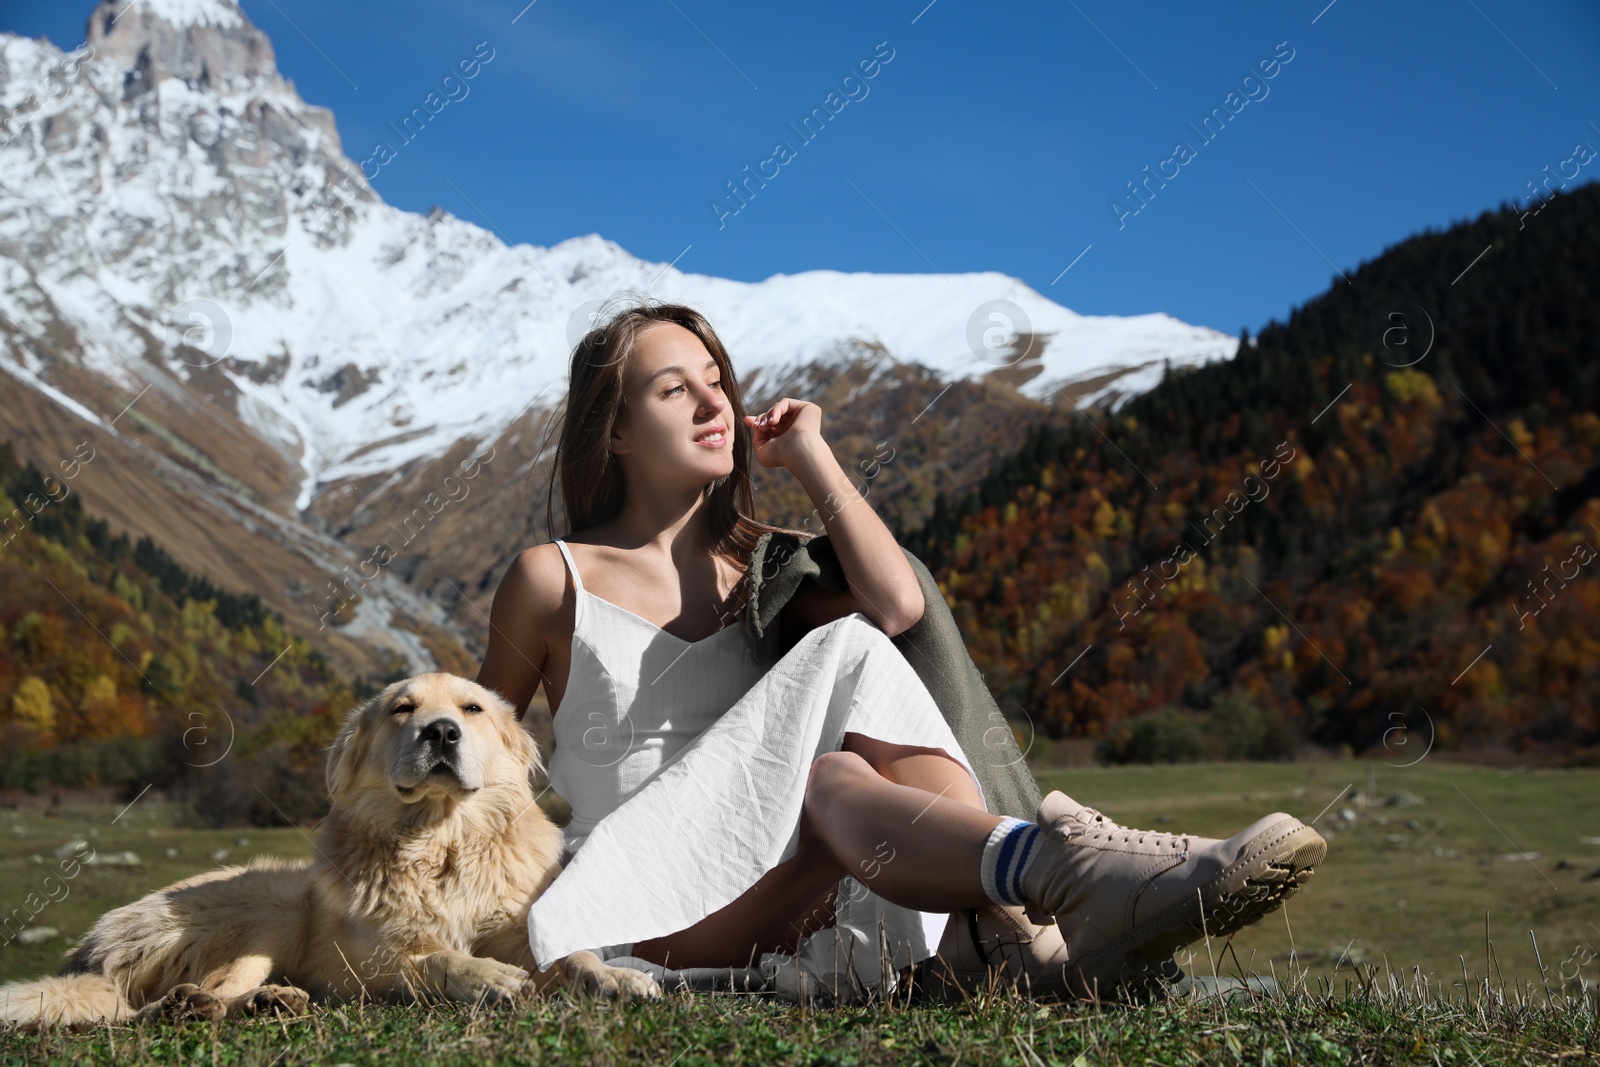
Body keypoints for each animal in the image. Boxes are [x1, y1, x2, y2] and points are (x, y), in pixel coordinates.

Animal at [0, 671, 659, 1030]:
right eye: (403, 708)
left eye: (470, 709)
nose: (441, 732)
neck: (440, 842)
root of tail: (92, 949)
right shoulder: (369, 962)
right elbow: (433, 959)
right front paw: (486, 975)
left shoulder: (523, 927)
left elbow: (574, 955)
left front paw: (618, 979)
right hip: (276, 904)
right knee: (172, 999)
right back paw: (193, 1007)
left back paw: (270, 1002)